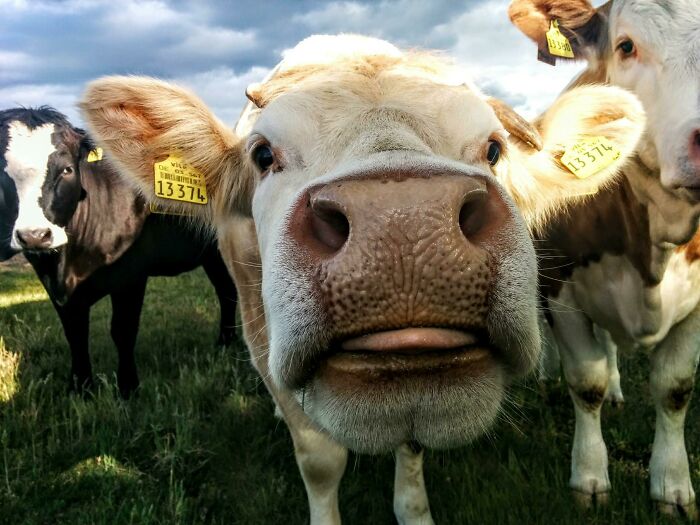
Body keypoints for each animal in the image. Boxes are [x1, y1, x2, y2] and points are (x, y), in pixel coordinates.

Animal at [0, 107, 239, 398]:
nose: (34, 235)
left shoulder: (131, 275)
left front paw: (128, 387)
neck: (68, 264)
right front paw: (81, 387)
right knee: (225, 291)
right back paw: (225, 342)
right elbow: (75, 332)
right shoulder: (54, 285)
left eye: (67, 169)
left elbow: (123, 330)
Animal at [80, 35, 644, 524]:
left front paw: (414, 513)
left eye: (493, 150)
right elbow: (320, 459)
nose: (403, 221)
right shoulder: (261, 336)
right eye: (263, 155)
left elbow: (411, 449)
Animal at [509, 0, 700, 515]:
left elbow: (674, 388)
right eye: (626, 45)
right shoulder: (562, 288)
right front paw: (590, 478)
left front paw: (672, 485)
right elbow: (585, 381)